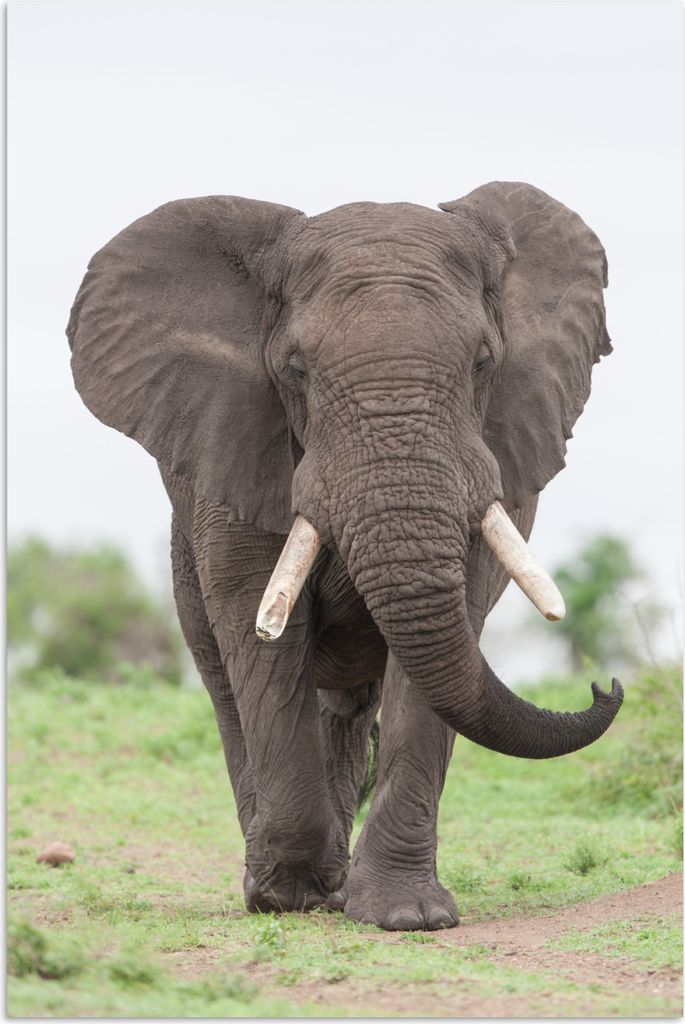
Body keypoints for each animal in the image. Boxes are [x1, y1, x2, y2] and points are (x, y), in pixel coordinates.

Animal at [67, 182, 623, 931]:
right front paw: (286, 898)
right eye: (296, 371)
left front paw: (406, 915)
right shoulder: (237, 448)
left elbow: (446, 634)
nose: (605, 686)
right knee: (226, 680)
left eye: (482, 363)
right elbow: (260, 629)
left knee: (350, 704)